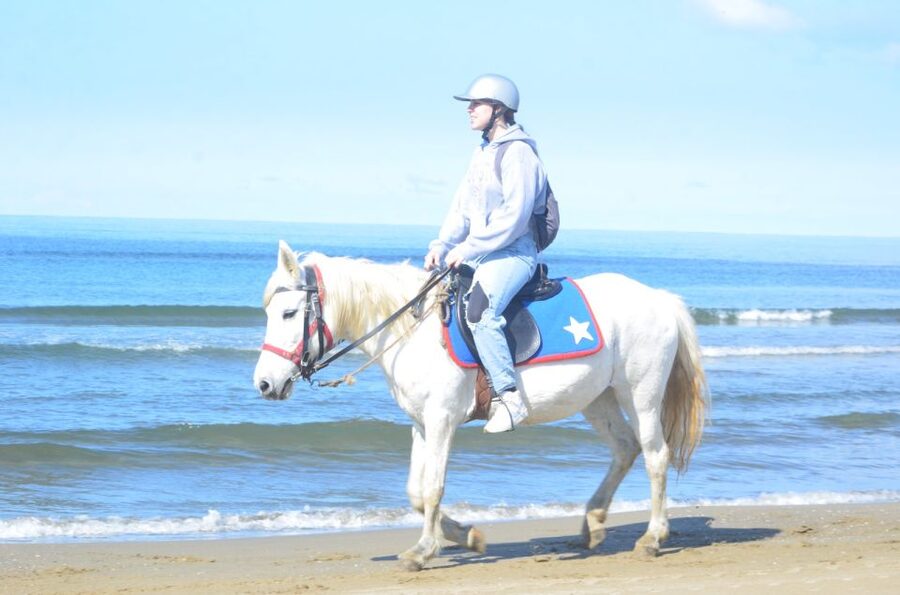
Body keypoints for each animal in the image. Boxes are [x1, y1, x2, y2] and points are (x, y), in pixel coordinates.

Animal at [253, 240, 708, 571]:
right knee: (625, 448)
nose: (265, 383)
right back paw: (592, 524)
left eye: (289, 312)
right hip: (599, 397)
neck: (412, 330)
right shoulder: (421, 424)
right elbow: (416, 493)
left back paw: (651, 537)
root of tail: (661, 300)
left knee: (655, 455)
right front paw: (467, 536)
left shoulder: (441, 420)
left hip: (641, 392)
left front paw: (424, 550)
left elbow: (433, 489)